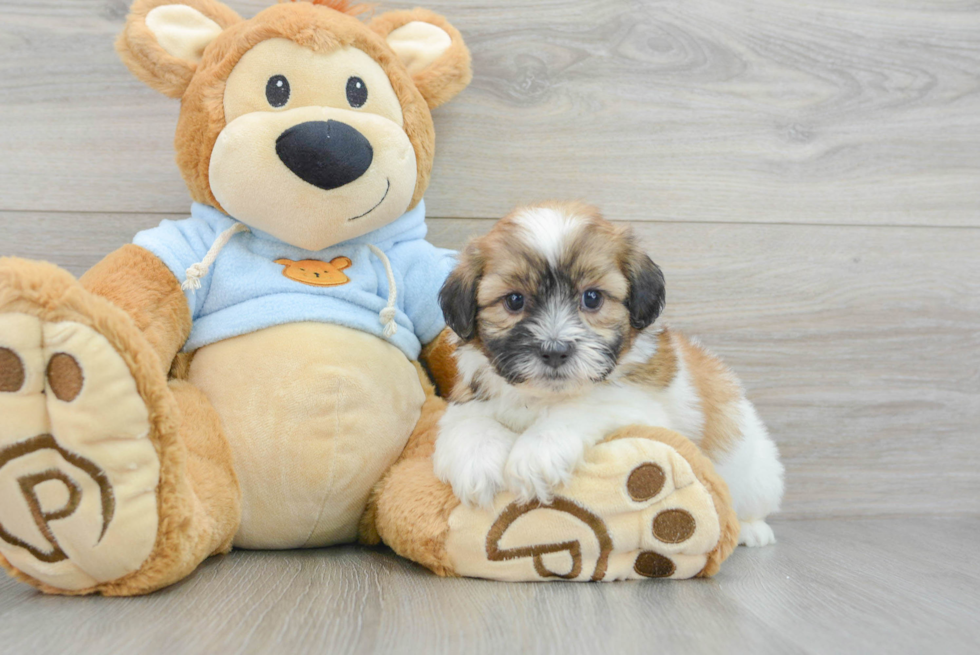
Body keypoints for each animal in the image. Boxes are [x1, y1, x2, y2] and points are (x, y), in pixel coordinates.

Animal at [432, 201, 784, 548]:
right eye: (514, 300)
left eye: (592, 298)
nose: (555, 350)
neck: (543, 397)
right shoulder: (470, 394)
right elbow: (469, 421)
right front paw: (477, 462)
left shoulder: (640, 406)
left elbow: (585, 406)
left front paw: (537, 453)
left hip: (756, 475)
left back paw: (752, 530)